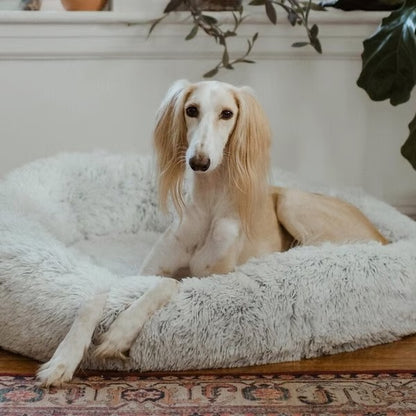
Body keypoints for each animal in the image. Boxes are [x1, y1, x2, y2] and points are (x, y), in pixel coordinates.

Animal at [37, 79, 388, 386]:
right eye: (191, 110)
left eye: (227, 113)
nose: (199, 161)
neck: (208, 208)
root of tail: (383, 236)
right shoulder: (143, 272)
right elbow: (95, 298)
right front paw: (62, 361)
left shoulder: (212, 280)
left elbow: (169, 284)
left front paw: (119, 333)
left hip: (292, 202)